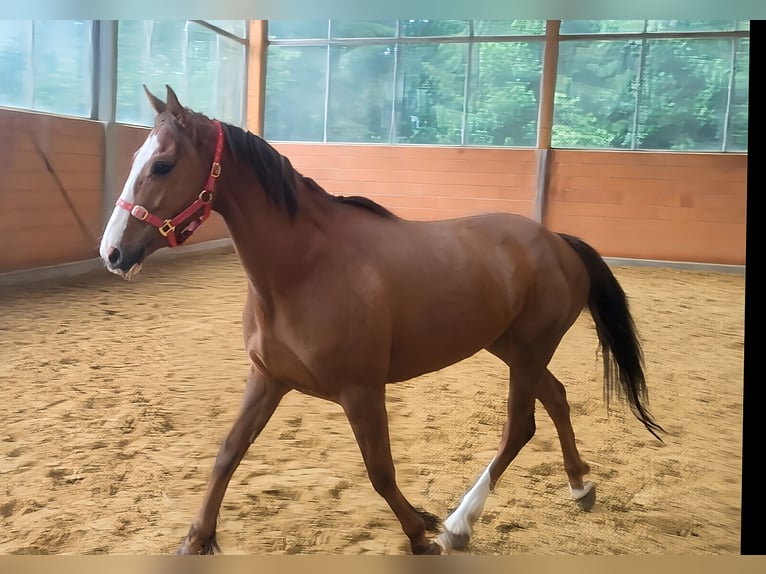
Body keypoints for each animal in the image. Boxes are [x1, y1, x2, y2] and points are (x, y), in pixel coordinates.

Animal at [98, 85, 664, 555]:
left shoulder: (361, 391)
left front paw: (421, 533)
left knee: (519, 426)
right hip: (508, 346)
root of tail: (557, 241)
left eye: (163, 164)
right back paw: (580, 486)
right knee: (557, 398)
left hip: (526, 350)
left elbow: (380, 471)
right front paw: (196, 539)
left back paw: (459, 524)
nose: (113, 253)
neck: (305, 270)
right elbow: (228, 453)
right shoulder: (268, 378)